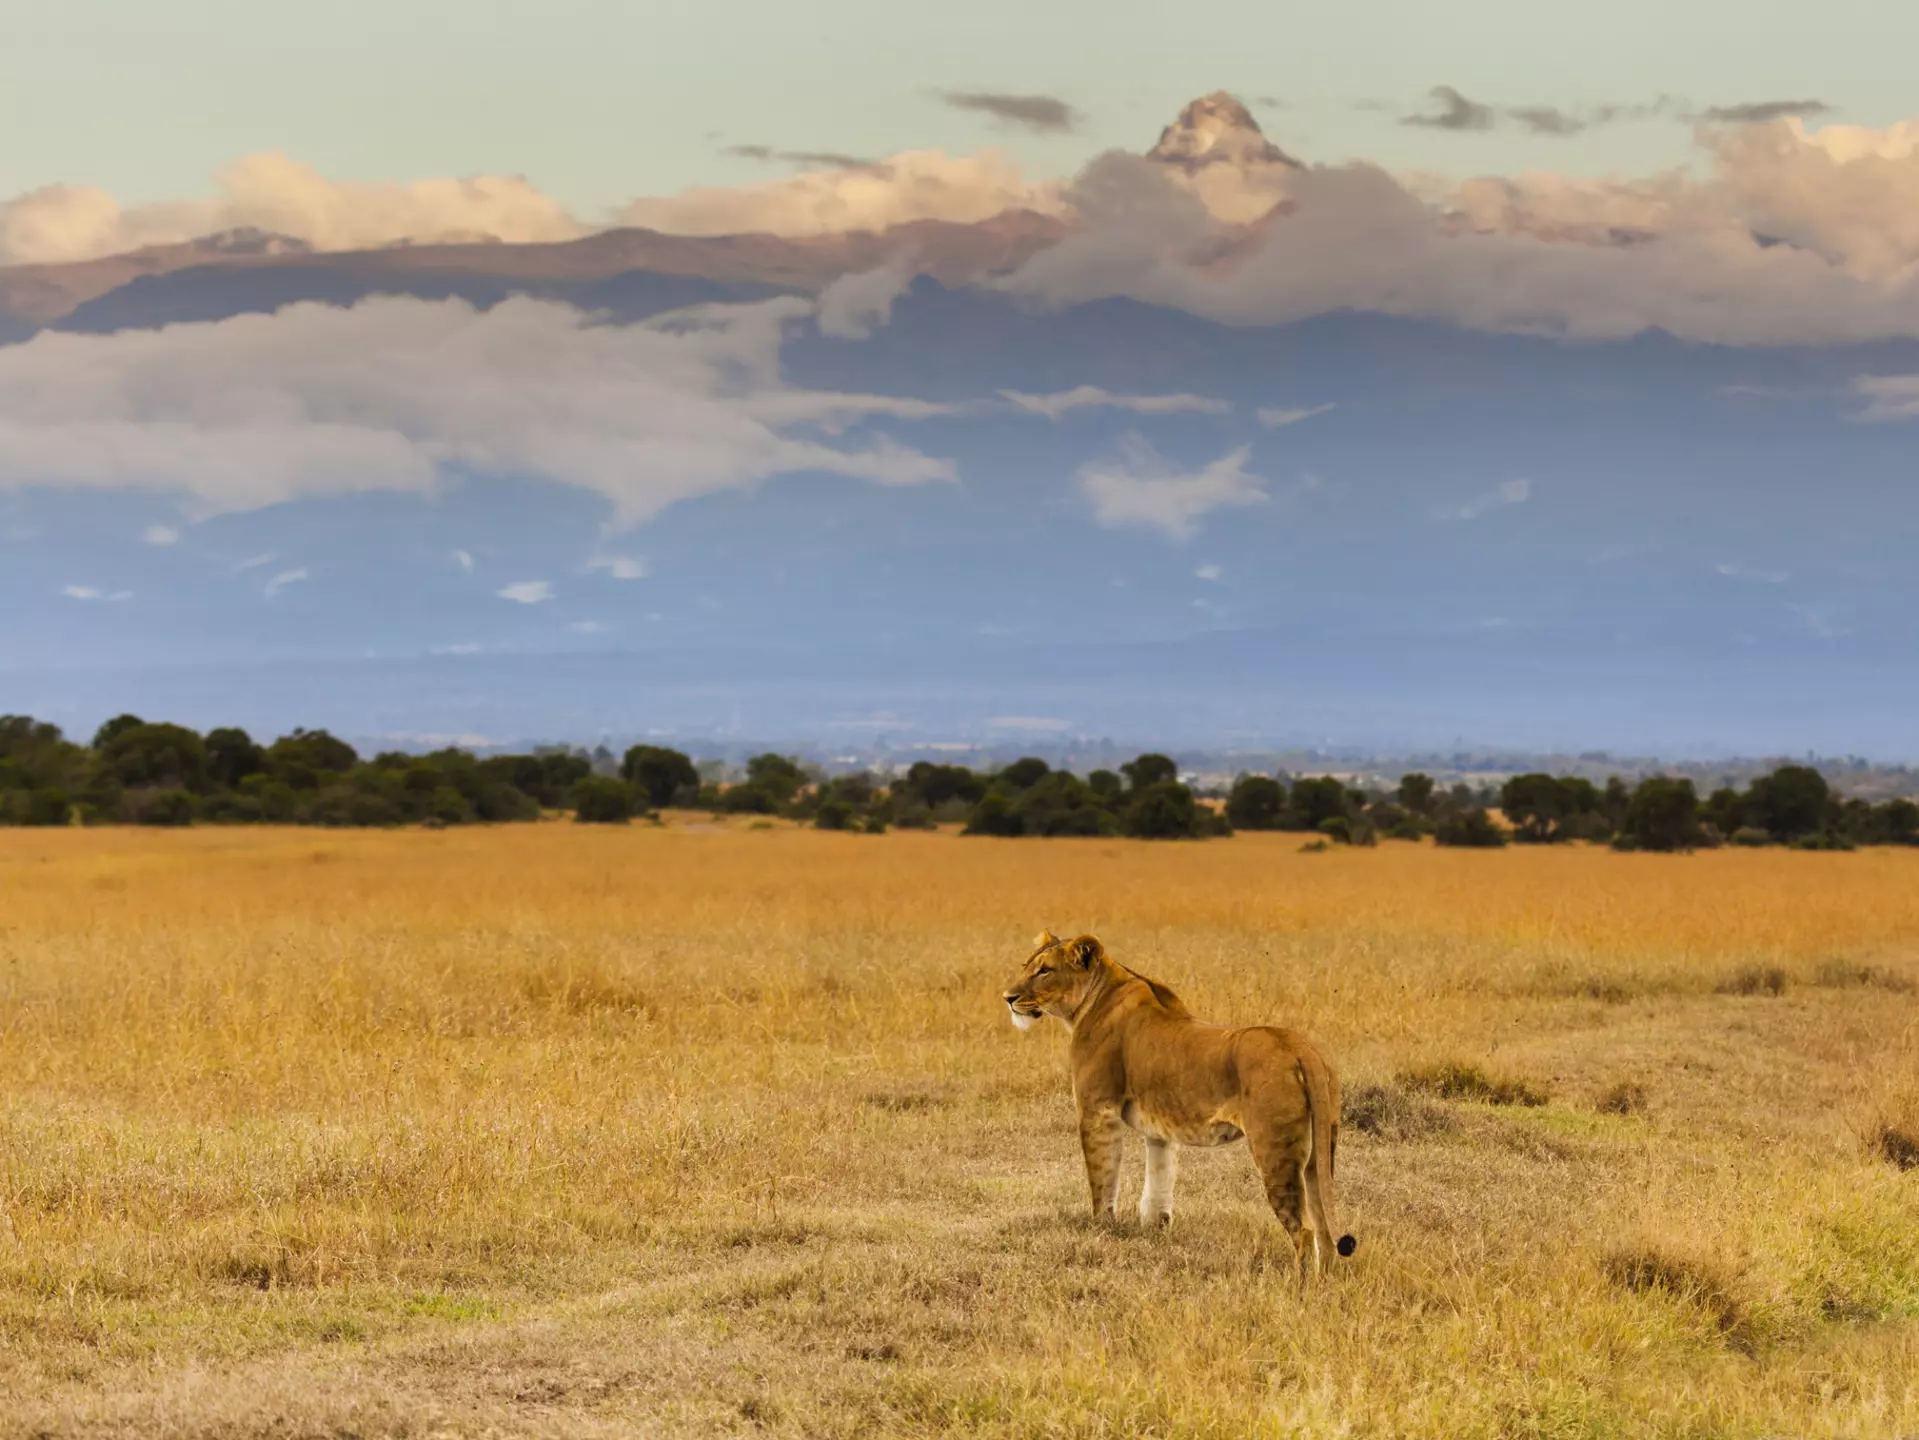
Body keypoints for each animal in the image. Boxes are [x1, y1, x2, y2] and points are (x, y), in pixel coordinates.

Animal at [1002, 930, 1356, 1274]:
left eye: (1045, 970)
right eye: (1027, 966)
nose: (1008, 998)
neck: (1094, 998)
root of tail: (1299, 1047)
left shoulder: (1098, 1110)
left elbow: (1102, 1177)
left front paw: (1101, 1228)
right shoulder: (1160, 1130)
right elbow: (1158, 1183)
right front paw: (1154, 1231)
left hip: (1275, 1151)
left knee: (1304, 1230)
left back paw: (1300, 1285)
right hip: (1320, 1151)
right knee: (1323, 1227)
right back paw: (1327, 1280)